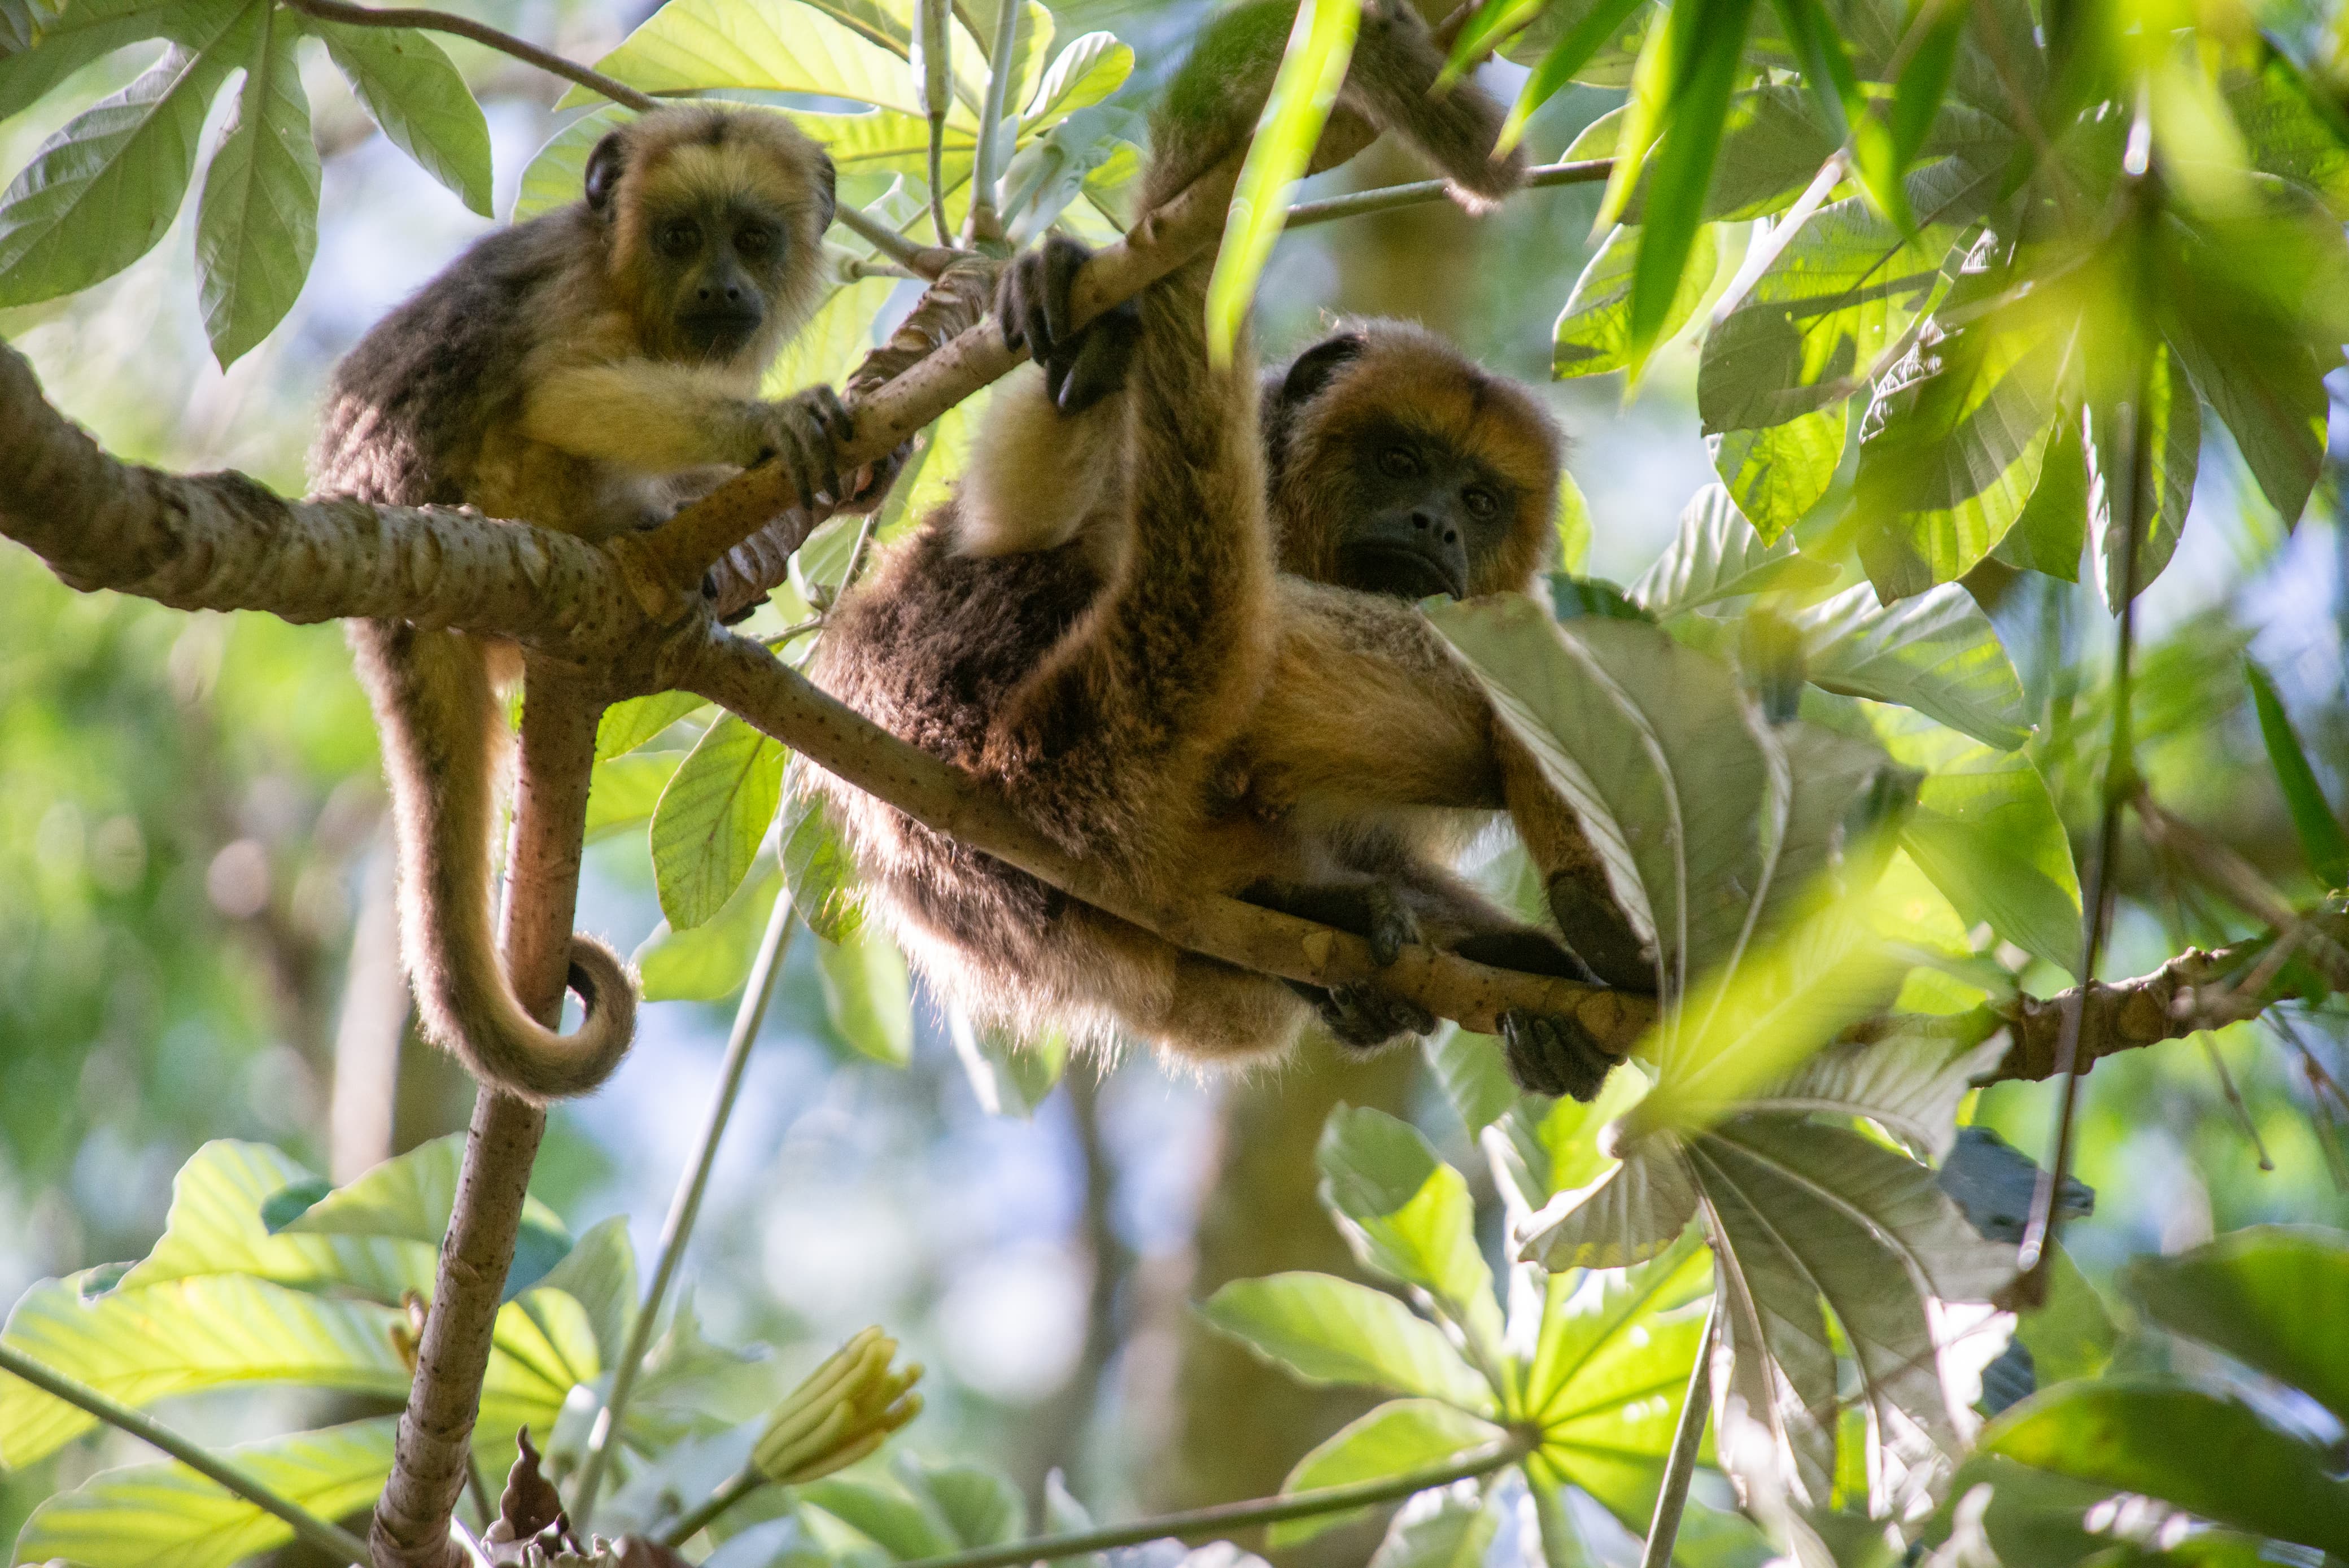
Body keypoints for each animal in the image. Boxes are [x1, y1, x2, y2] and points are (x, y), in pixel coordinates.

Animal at [314, 105, 852, 1104]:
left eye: (754, 239)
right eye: (680, 238)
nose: (722, 287)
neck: (627, 280)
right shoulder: (572, 291)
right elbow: (560, 392)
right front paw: (763, 428)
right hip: (494, 495)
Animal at [807, 0, 1643, 1100]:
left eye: (1479, 498)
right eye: (1399, 461)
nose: (1437, 526)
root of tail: (1026, 758)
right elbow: (1009, 527)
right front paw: (1078, 316)